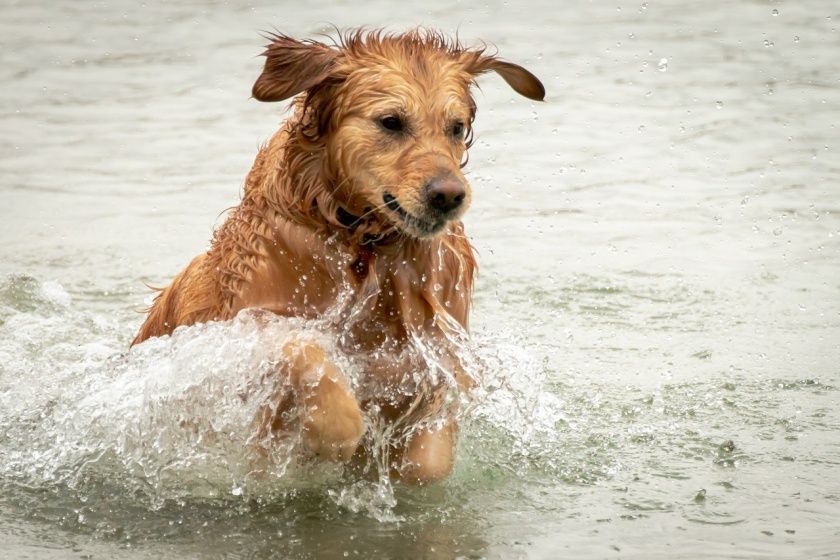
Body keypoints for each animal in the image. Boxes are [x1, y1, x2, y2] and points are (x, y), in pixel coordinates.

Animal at [128, 29, 540, 486]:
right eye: (391, 121)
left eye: (456, 127)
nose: (449, 195)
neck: (365, 241)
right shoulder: (239, 329)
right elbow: (302, 348)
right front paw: (335, 430)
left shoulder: (436, 348)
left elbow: (428, 458)